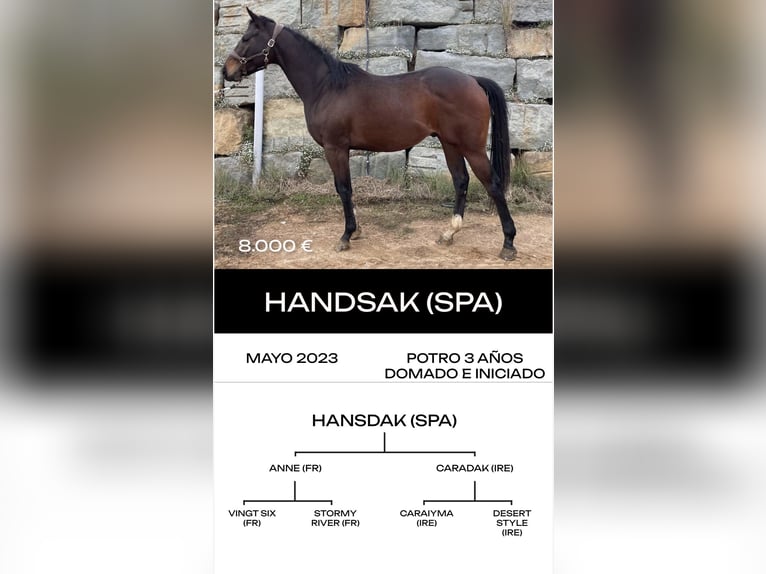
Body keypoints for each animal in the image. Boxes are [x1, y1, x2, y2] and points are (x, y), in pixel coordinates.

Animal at [223, 9, 518, 260]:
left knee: (492, 184)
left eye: (246, 38)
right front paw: (357, 230)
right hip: (450, 143)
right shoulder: (340, 150)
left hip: (472, 147)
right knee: (461, 181)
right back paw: (449, 233)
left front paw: (346, 235)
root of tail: (472, 79)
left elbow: (343, 188)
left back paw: (508, 243)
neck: (327, 86)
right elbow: (345, 188)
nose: (227, 70)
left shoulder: (335, 148)